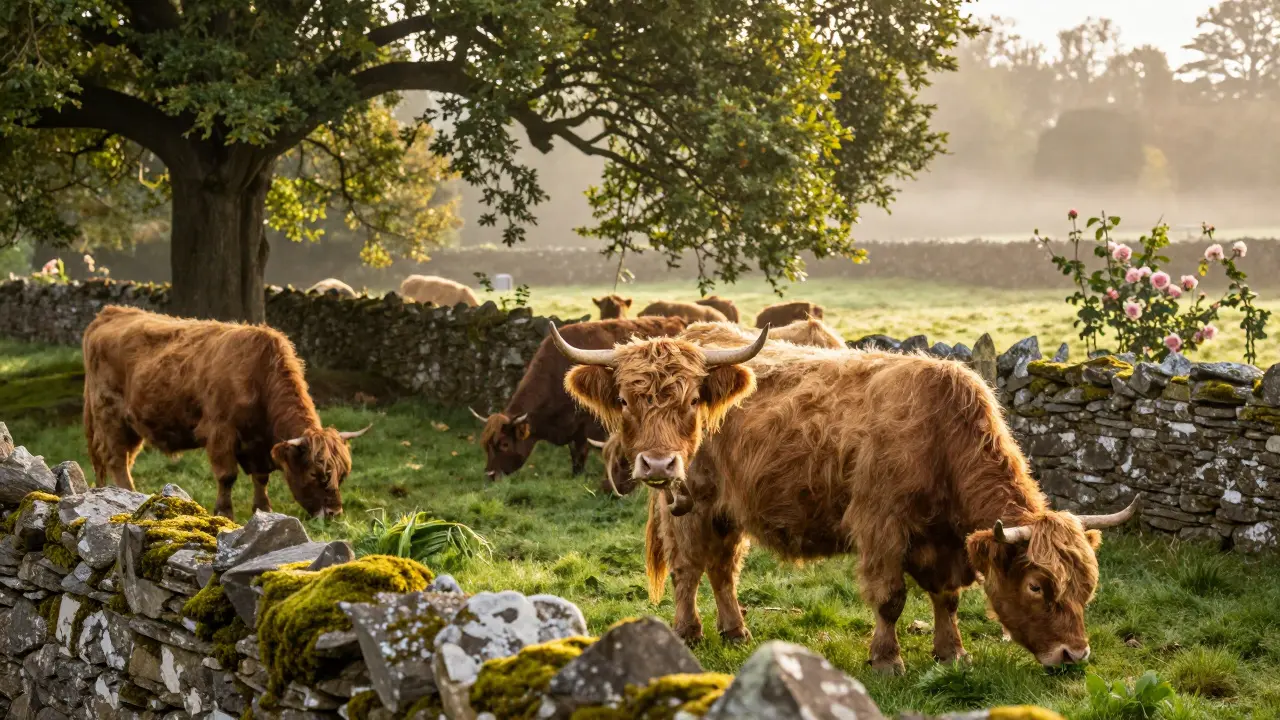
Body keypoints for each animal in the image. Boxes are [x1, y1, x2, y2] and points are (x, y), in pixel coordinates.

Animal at [81, 306, 370, 520]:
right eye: (315, 474)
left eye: (342, 475)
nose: (334, 513)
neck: (259, 376)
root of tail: (111, 312)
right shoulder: (221, 432)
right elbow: (227, 476)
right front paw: (224, 513)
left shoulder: (258, 444)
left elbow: (261, 477)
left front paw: (263, 509)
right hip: (110, 415)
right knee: (116, 459)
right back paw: (129, 495)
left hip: (131, 426)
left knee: (120, 459)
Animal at [550, 321, 1140, 673]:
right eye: (1039, 586)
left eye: (1087, 586)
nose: (1075, 654)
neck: (940, 437)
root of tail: (700, 333)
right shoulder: (881, 526)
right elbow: (891, 598)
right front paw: (887, 660)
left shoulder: (945, 542)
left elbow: (946, 597)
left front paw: (951, 653)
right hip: (688, 500)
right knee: (689, 568)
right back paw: (689, 634)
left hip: (727, 509)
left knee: (723, 569)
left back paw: (736, 631)